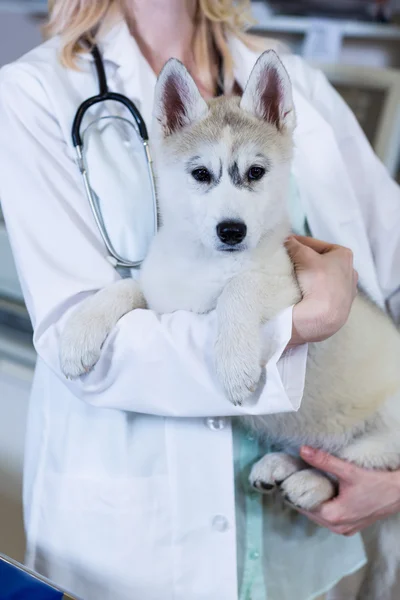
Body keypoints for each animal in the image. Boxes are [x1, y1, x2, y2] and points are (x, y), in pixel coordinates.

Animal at [60, 52, 400, 600]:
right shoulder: (162, 297)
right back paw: (282, 466)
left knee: (361, 463)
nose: (232, 230)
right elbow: (123, 290)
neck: (205, 265)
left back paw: (311, 481)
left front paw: (235, 364)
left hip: (385, 425)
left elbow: (240, 288)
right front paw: (79, 333)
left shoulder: (289, 288)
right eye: (201, 173)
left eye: (255, 172)